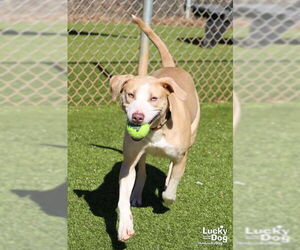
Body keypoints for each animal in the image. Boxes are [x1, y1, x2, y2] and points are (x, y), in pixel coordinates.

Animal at [109, 16, 200, 242]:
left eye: (154, 98)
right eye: (130, 94)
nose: (137, 116)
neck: (156, 129)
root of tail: (171, 67)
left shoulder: (181, 156)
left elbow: (173, 182)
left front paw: (168, 198)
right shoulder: (129, 161)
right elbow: (123, 195)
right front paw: (124, 226)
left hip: (192, 134)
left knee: (171, 168)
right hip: (140, 154)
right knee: (141, 171)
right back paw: (137, 194)